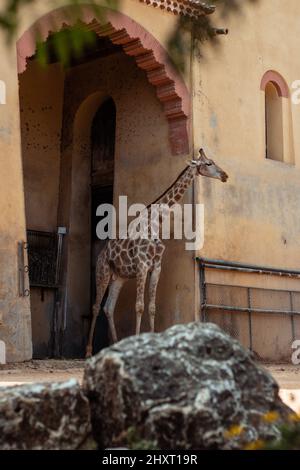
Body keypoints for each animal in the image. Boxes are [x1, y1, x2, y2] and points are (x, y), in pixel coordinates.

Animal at [85, 149, 229, 358]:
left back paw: (117, 344)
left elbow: (152, 307)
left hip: (119, 277)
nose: (225, 176)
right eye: (209, 163)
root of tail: (101, 254)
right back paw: (88, 351)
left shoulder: (156, 268)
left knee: (109, 307)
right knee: (96, 307)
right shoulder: (142, 267)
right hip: (102, 272)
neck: (154, 224)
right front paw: (138, 344)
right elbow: (139, 306)